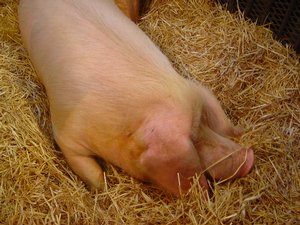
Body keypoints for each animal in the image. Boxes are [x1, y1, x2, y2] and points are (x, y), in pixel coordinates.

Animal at [18, 0, 253, 195]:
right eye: (193, 139)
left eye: (207, 121)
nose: (249, 157)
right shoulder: (66, 131)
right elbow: (89, 170)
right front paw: (102, 192)